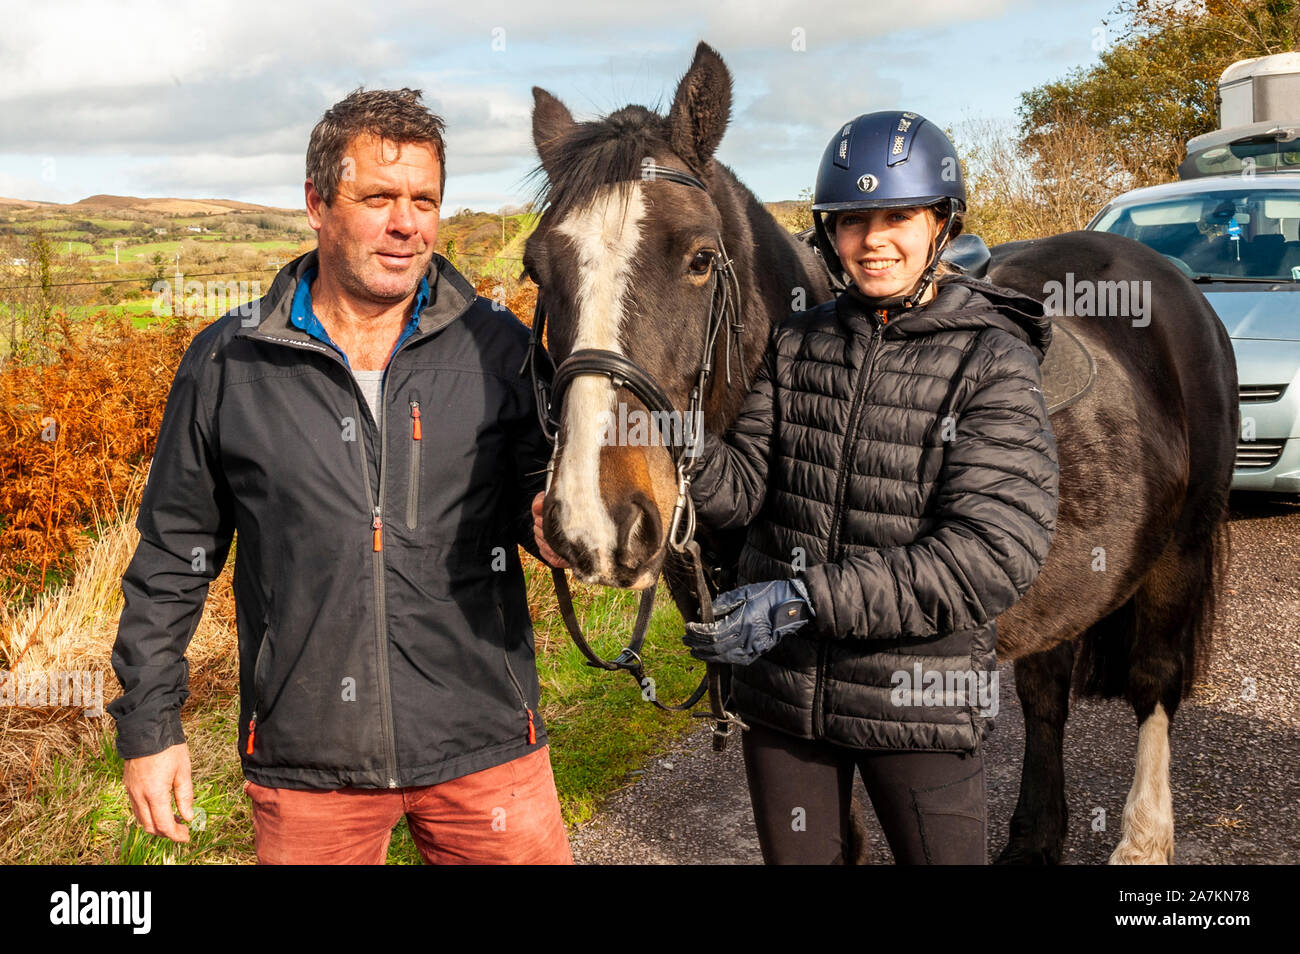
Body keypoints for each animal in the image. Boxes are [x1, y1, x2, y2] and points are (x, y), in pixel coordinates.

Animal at [525, 42, 1237, 868]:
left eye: (699, 259)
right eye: (538, 269)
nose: (591, 522)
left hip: (1178, 555)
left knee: (1154, 683)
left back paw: (1143, 841)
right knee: (1045, 690)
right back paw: (1035, 838)